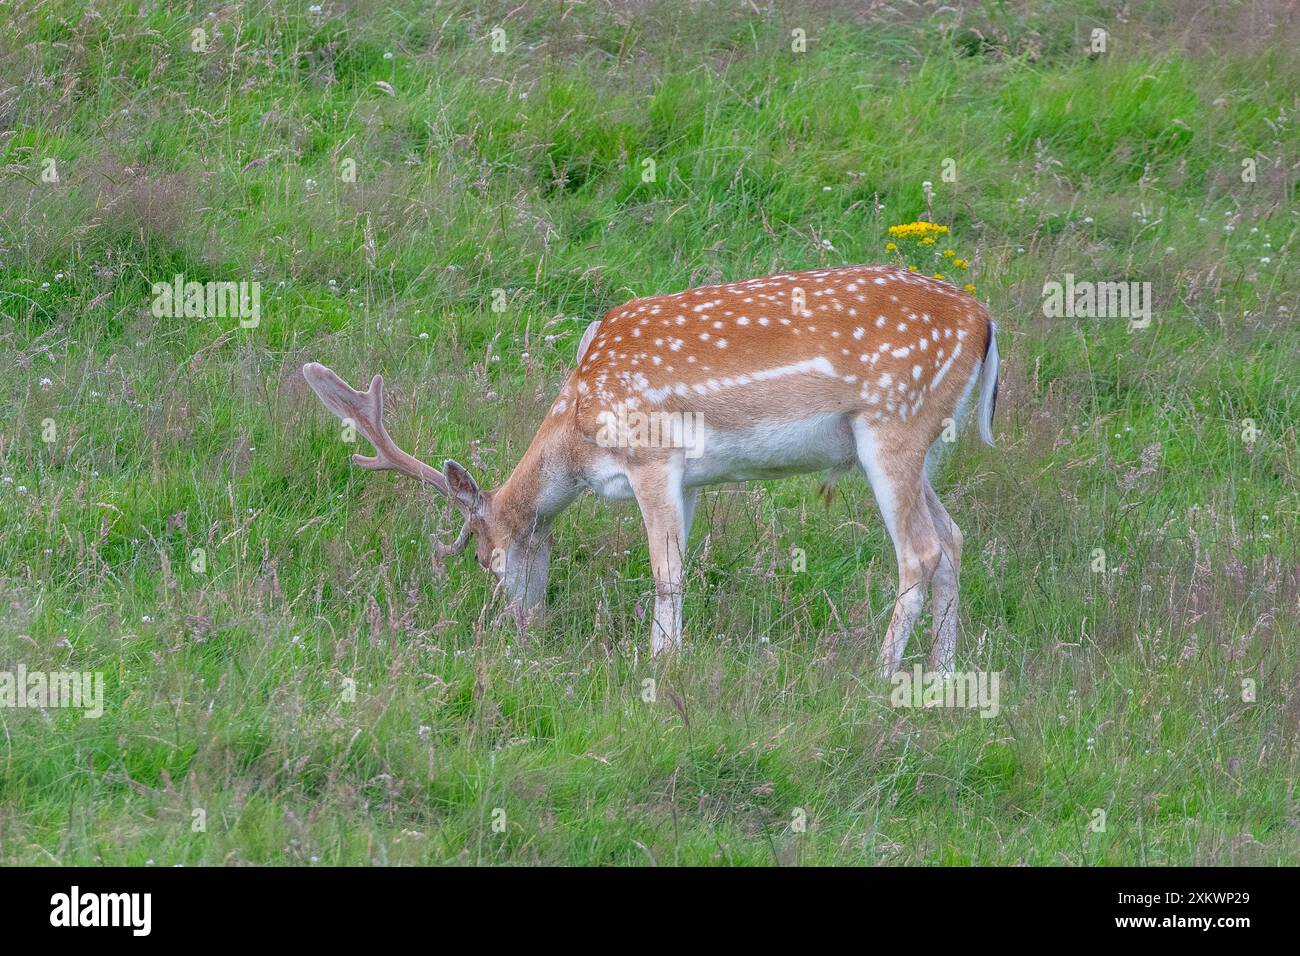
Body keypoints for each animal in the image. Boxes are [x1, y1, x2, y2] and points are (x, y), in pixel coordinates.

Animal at [302, 263, 999, 675]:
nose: (521, 626)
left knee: (920, 551)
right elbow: (680, 559)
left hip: (893, 422)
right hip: (924, 442)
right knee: (955, 537)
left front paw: (660, 666)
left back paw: (878, 675)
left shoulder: (652, 454)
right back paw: (941, 673)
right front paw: (669, 655)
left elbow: (666, 569)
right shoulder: (690, 480)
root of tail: (985, 323)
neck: (581, 430)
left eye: (484, 556)